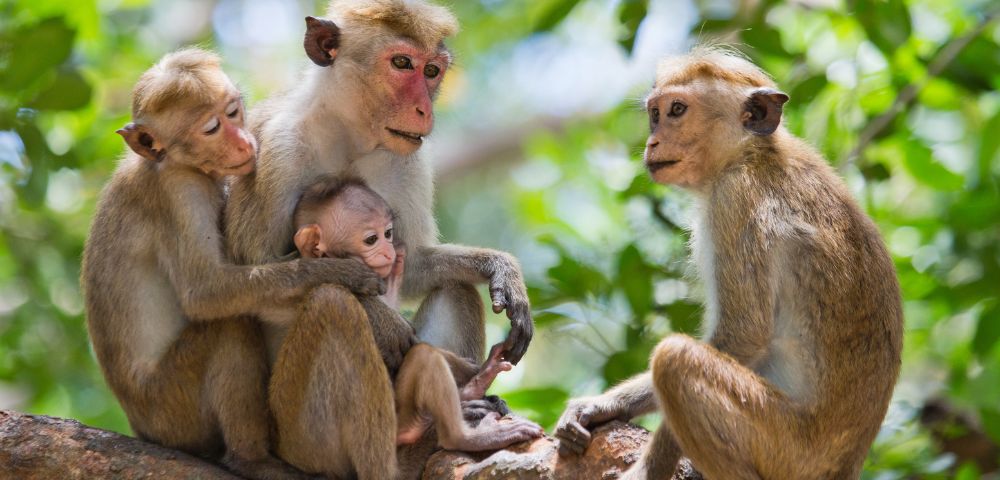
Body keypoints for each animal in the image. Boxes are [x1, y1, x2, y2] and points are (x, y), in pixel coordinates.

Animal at [80, 48, 385, 480]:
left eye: (233, 112)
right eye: (211, 128)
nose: (243, 142)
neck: (171, 163)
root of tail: (139, 426)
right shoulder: (180, 191)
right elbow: (205, 293)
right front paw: (343, 273)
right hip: (172, 408)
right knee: (230, 325)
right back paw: (251, 460)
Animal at [555, 46, 904, 480]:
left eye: (677, 110)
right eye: (655, 113)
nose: (653, 141)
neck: (751, 153)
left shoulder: (735, 201)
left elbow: (743, 335)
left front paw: (645, 471)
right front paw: (600, 406)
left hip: (788, 448)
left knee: (675, 360)